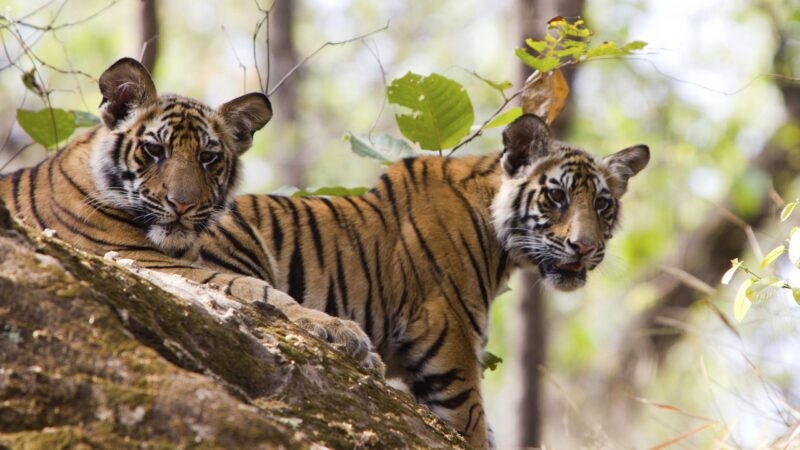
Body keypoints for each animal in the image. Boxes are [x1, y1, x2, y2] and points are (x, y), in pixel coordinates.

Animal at [0, 57, 378, 368]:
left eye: (208, 157)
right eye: (155, 150)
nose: (182, 204)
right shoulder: (146, 261)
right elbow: (255, 289)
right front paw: (340, 330)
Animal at [195, 113, 650, 448]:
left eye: (603, 205)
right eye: (557, 196)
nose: (585, 247)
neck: (502, 246)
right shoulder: (449, 339)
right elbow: (472, 425)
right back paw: (348, 341)